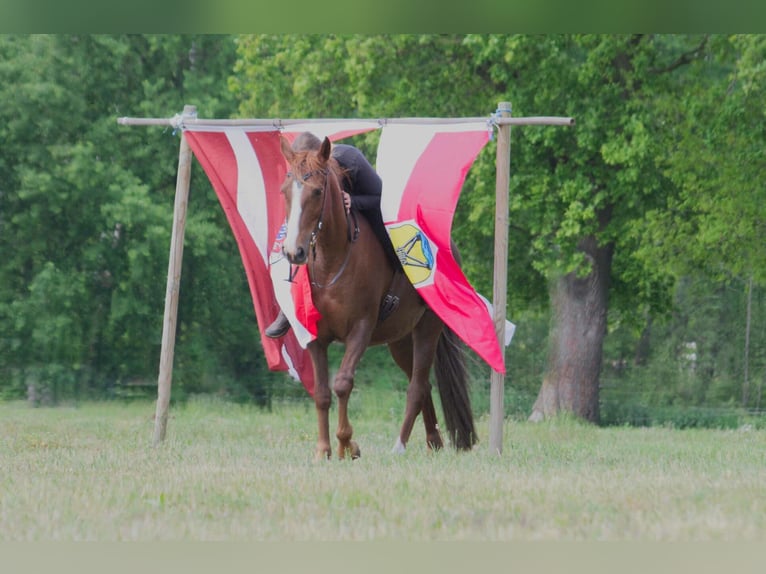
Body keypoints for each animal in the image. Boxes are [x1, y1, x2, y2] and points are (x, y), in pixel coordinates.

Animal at [280, 134, 476, 460]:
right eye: (285, 192)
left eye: (318, 191)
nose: (293, 251)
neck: (333, 259)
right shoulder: (316, 336)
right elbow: (321, 394)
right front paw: (323, 450)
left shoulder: (361, 328)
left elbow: (342, 383)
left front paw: (347, 444)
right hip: (399, 340)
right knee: (421, 385)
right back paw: (433, 441)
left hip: (427, 330)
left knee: (417, 386)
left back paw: (400, 445)